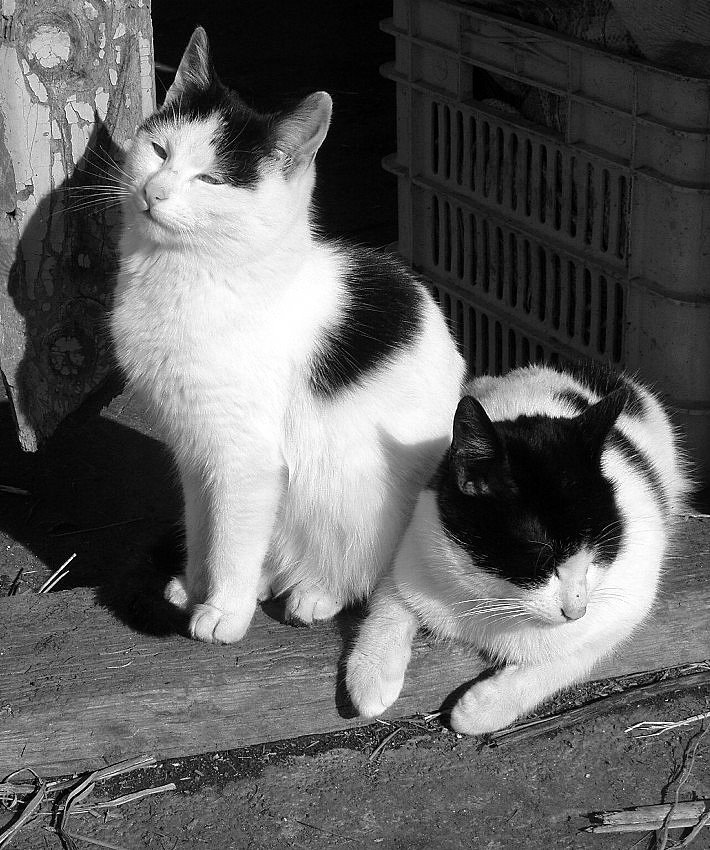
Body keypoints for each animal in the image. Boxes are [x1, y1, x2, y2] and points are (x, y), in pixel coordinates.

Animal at [109, 27, 465, 643]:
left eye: (211, 179)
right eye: (159, 151)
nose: (154, 192)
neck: (191, 274)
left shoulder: (245, 456)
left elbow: (233, 539)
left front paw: (224, 610)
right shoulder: (195, 450)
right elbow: (205, 526)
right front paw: (200, 584)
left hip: (357, 490)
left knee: (369, 569)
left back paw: (315, 593)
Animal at [346, 362, 691, 734]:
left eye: (596, 553)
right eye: (542, 558)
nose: (576, 611)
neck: (492, 598)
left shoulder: (627, 601)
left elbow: (569, 659)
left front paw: (483, 708)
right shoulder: (416, 545)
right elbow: (389, 603)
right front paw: (370, 676)